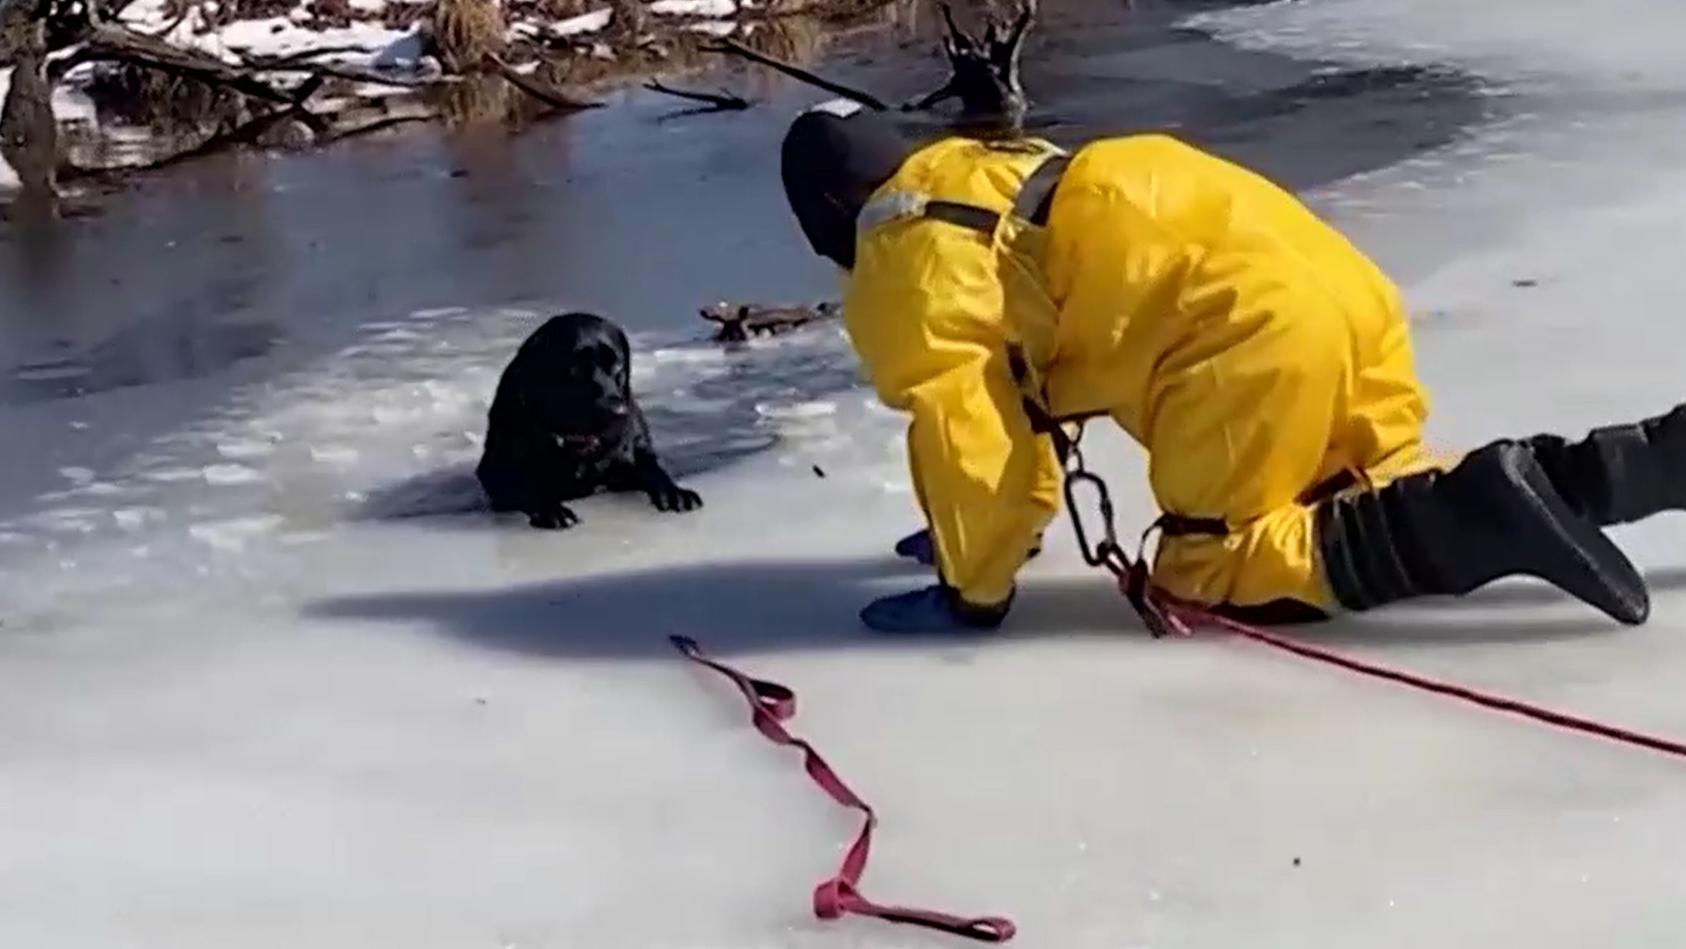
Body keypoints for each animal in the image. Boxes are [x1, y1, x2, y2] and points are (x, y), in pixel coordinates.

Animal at [478, 315, 701, 532]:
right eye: (576, 370)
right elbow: (527, 488)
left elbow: (653, 468)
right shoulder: (495, 471)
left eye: (618, 366)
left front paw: (675, 492)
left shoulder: (634, 452)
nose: (619, 411)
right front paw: (552, 510)